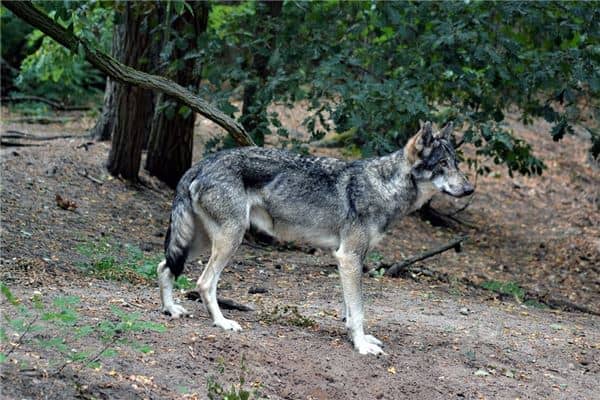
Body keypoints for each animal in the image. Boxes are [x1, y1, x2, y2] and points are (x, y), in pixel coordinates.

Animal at [156, 121, 474, 354]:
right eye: (442, 164)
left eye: (456, 163)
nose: (470, 189)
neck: (385, 187)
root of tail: (200, 164)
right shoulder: (349, 257)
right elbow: (359, 310)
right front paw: (361, 346)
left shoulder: (348, 260)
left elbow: (349, 309)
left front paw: (356, 337)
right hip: (229, 240)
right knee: (203, 282)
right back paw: (222, 323)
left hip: (202, 242)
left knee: (164, 267)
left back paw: (171, 310)